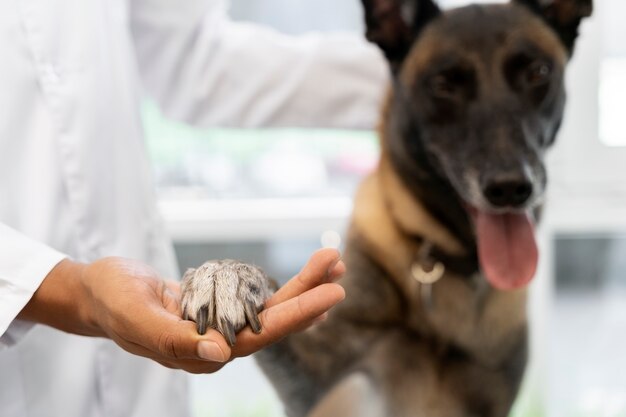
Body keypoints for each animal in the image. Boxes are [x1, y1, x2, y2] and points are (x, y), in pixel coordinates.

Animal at [179, 1, 588, 414]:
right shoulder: (316, 384)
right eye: (443, 85)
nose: (510, 189)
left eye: (538, 73)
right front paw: (226, 276)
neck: (447, 259)